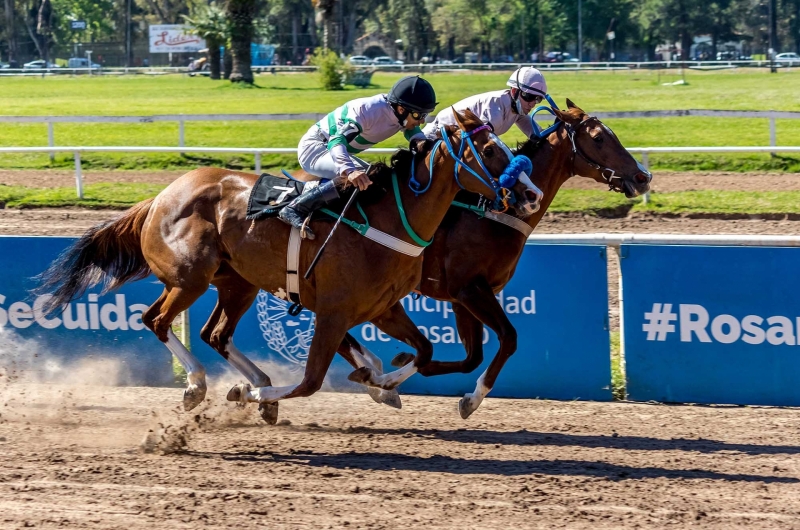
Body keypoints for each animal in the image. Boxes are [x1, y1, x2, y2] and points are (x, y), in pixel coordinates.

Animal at [36, 107, 536, 412]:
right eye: (489, 149)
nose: (528, 193)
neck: (392, 220)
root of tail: (159, 197)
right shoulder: (333, 312)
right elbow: (311, 380)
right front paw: (251, 393)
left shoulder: (384, 308)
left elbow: (424, 350)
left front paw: (382, 383)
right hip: (190, 278)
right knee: (156, 320)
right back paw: (199, 385)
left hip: (237, 282)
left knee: (213, 332)